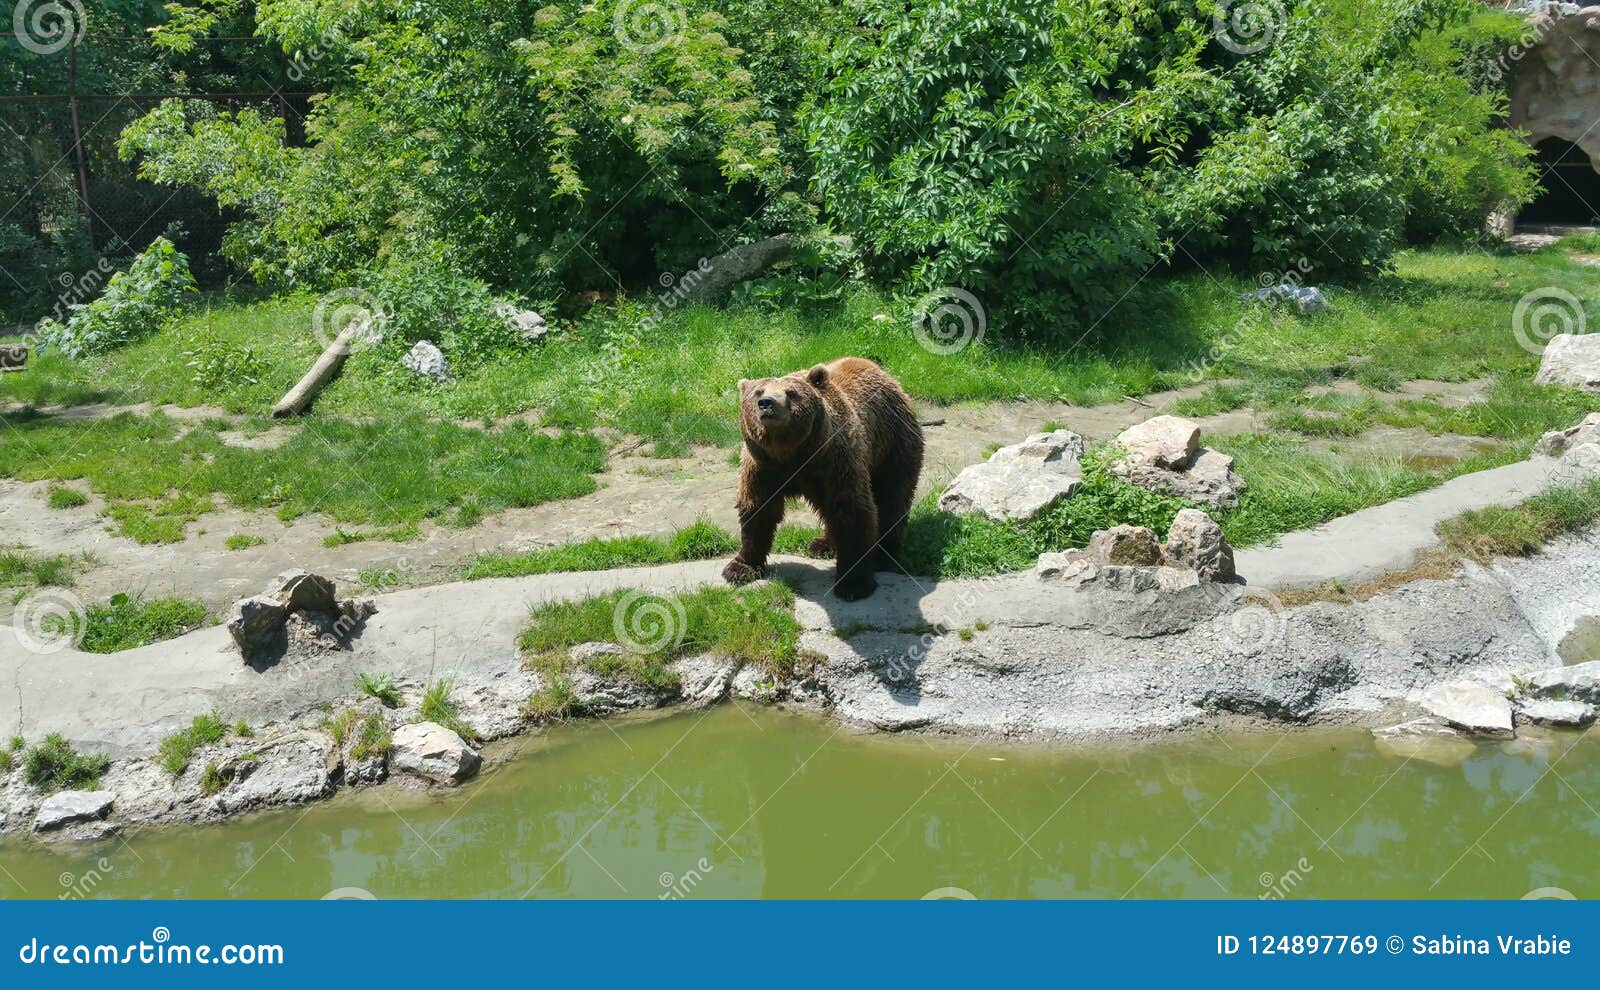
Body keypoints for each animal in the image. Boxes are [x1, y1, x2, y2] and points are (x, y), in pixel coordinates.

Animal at [722, 356, 924, 600]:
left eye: (791, 393)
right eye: (758, 392)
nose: (767, 403)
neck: (791, 455)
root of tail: (879, 371)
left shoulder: (835, 463)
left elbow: (851, 511)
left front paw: (854, 583)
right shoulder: (762, 468)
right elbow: (758, 510)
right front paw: (741, 567)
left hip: (892, 443)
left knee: (892, 496)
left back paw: (884, 554)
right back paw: (823, 544)